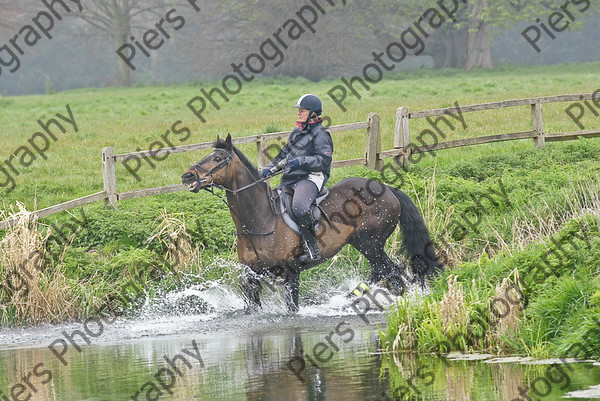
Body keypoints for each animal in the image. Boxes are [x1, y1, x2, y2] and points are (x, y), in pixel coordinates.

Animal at [179, 133, 440, 310]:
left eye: (218, 158)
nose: (187, 176)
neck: (260, 221)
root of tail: (387, 188)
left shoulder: (291, 274)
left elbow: (292, 309)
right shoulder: (251, 279)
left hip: (371, 243)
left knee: (391, 272)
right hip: (362, 243)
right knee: (383, 272)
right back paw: (352, 297)